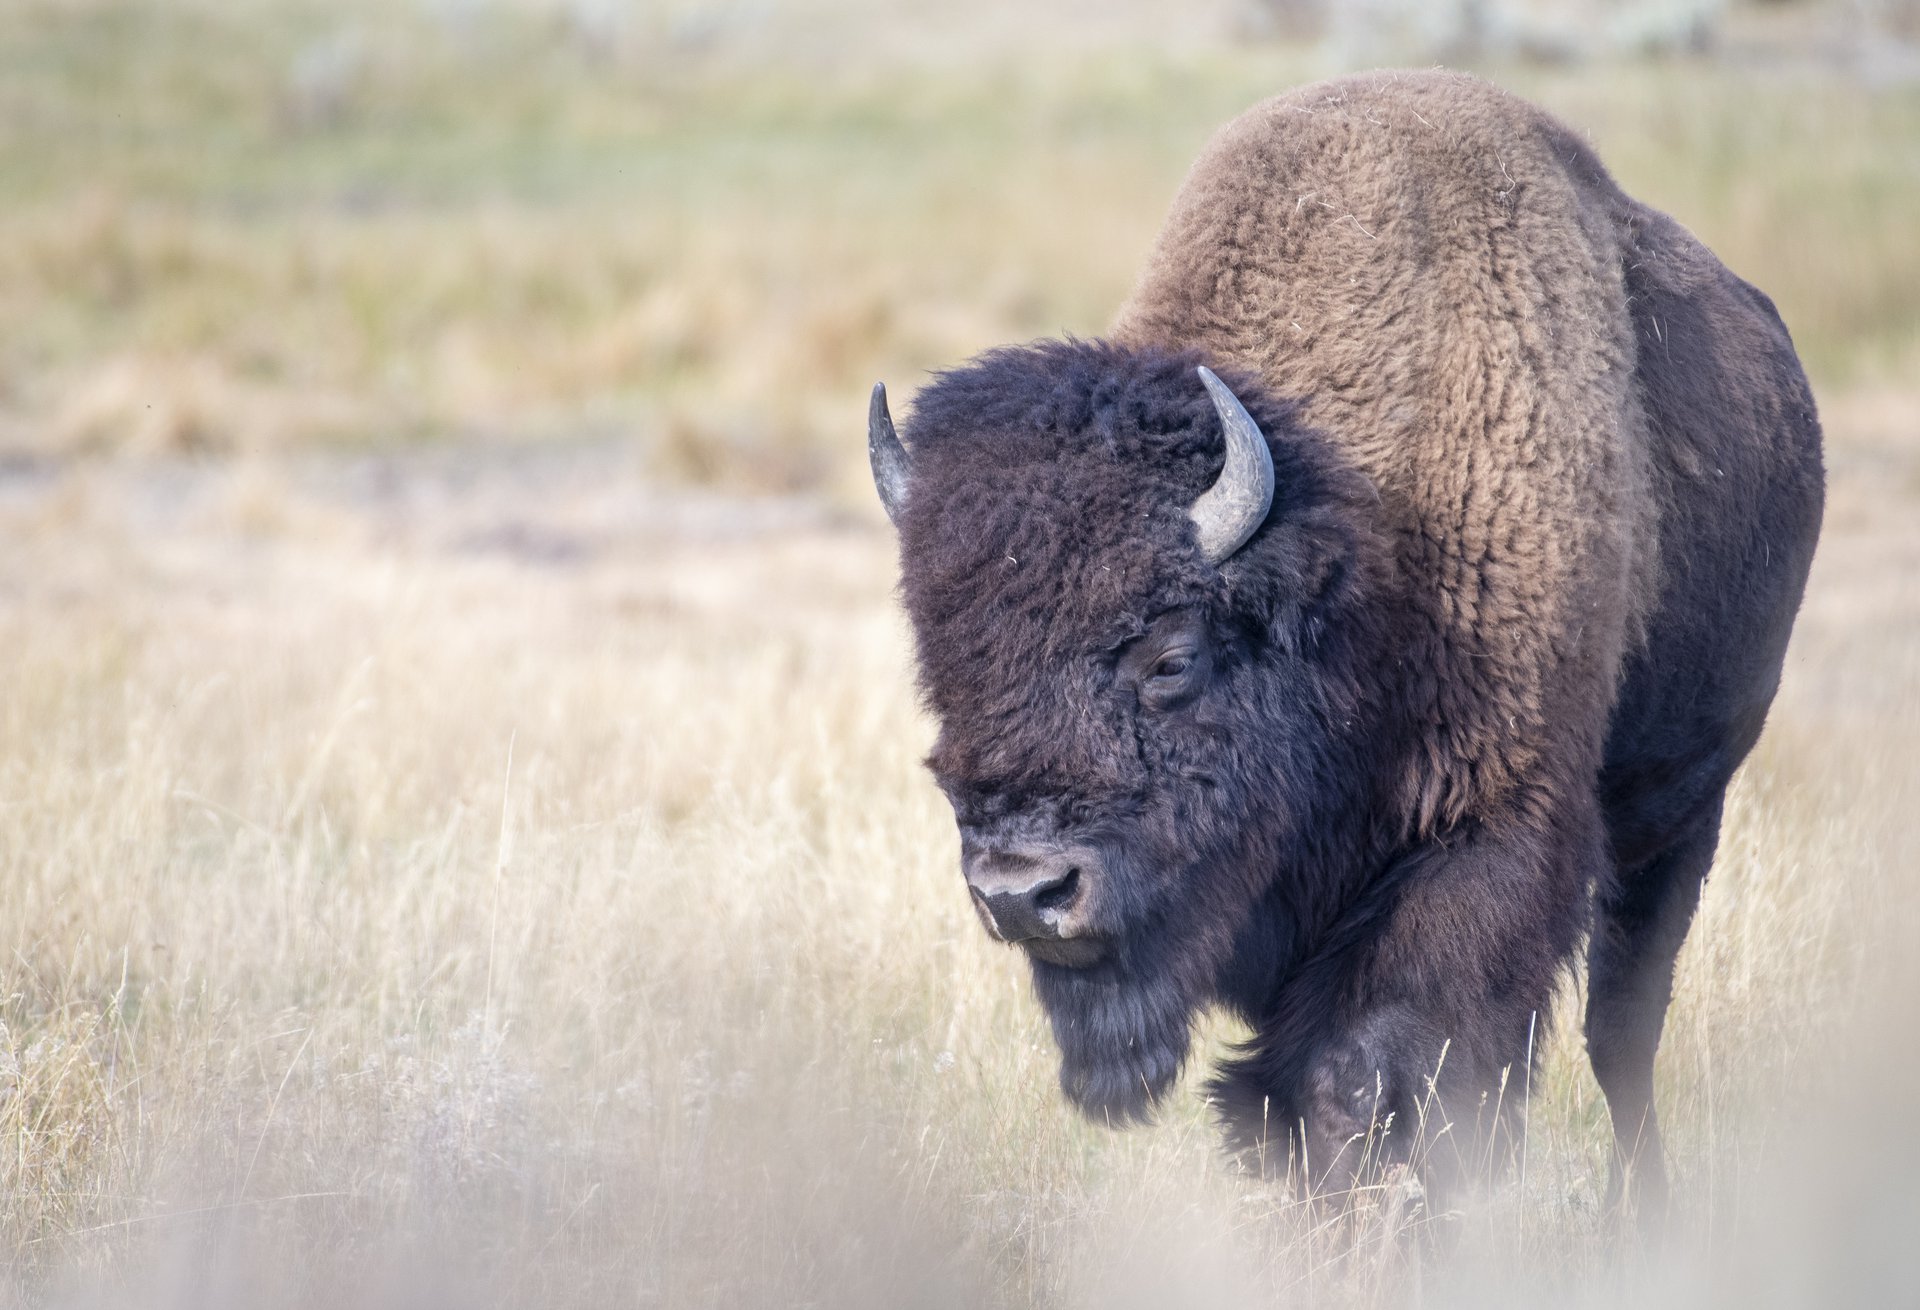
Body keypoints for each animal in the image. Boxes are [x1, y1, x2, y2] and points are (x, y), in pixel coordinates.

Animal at [867, 70, 1822, 1210]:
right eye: (943, 663)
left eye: (1170, 659)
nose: (1022, 891)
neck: (1359, 546)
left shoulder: (1481, 836)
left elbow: (1374, 1074)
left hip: (1681, 804)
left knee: (1622, 1023)